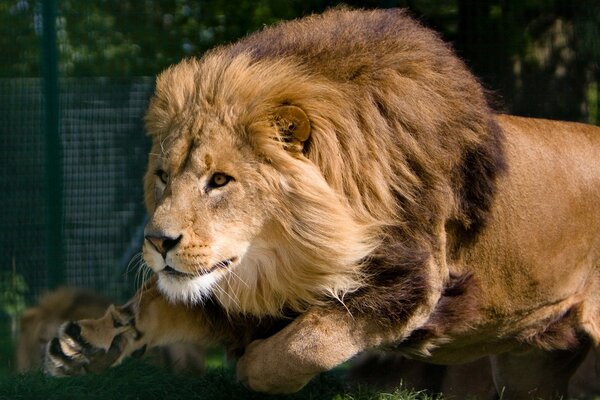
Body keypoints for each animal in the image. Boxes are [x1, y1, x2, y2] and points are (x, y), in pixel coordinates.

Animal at [43, 7, 600, 398]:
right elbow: (158, 300)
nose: (157, 241)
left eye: (219, 180)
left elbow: (308, 341)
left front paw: (252, 366)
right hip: (529, 367)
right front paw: (84, 344)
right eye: (162, 176)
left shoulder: (414, 282)